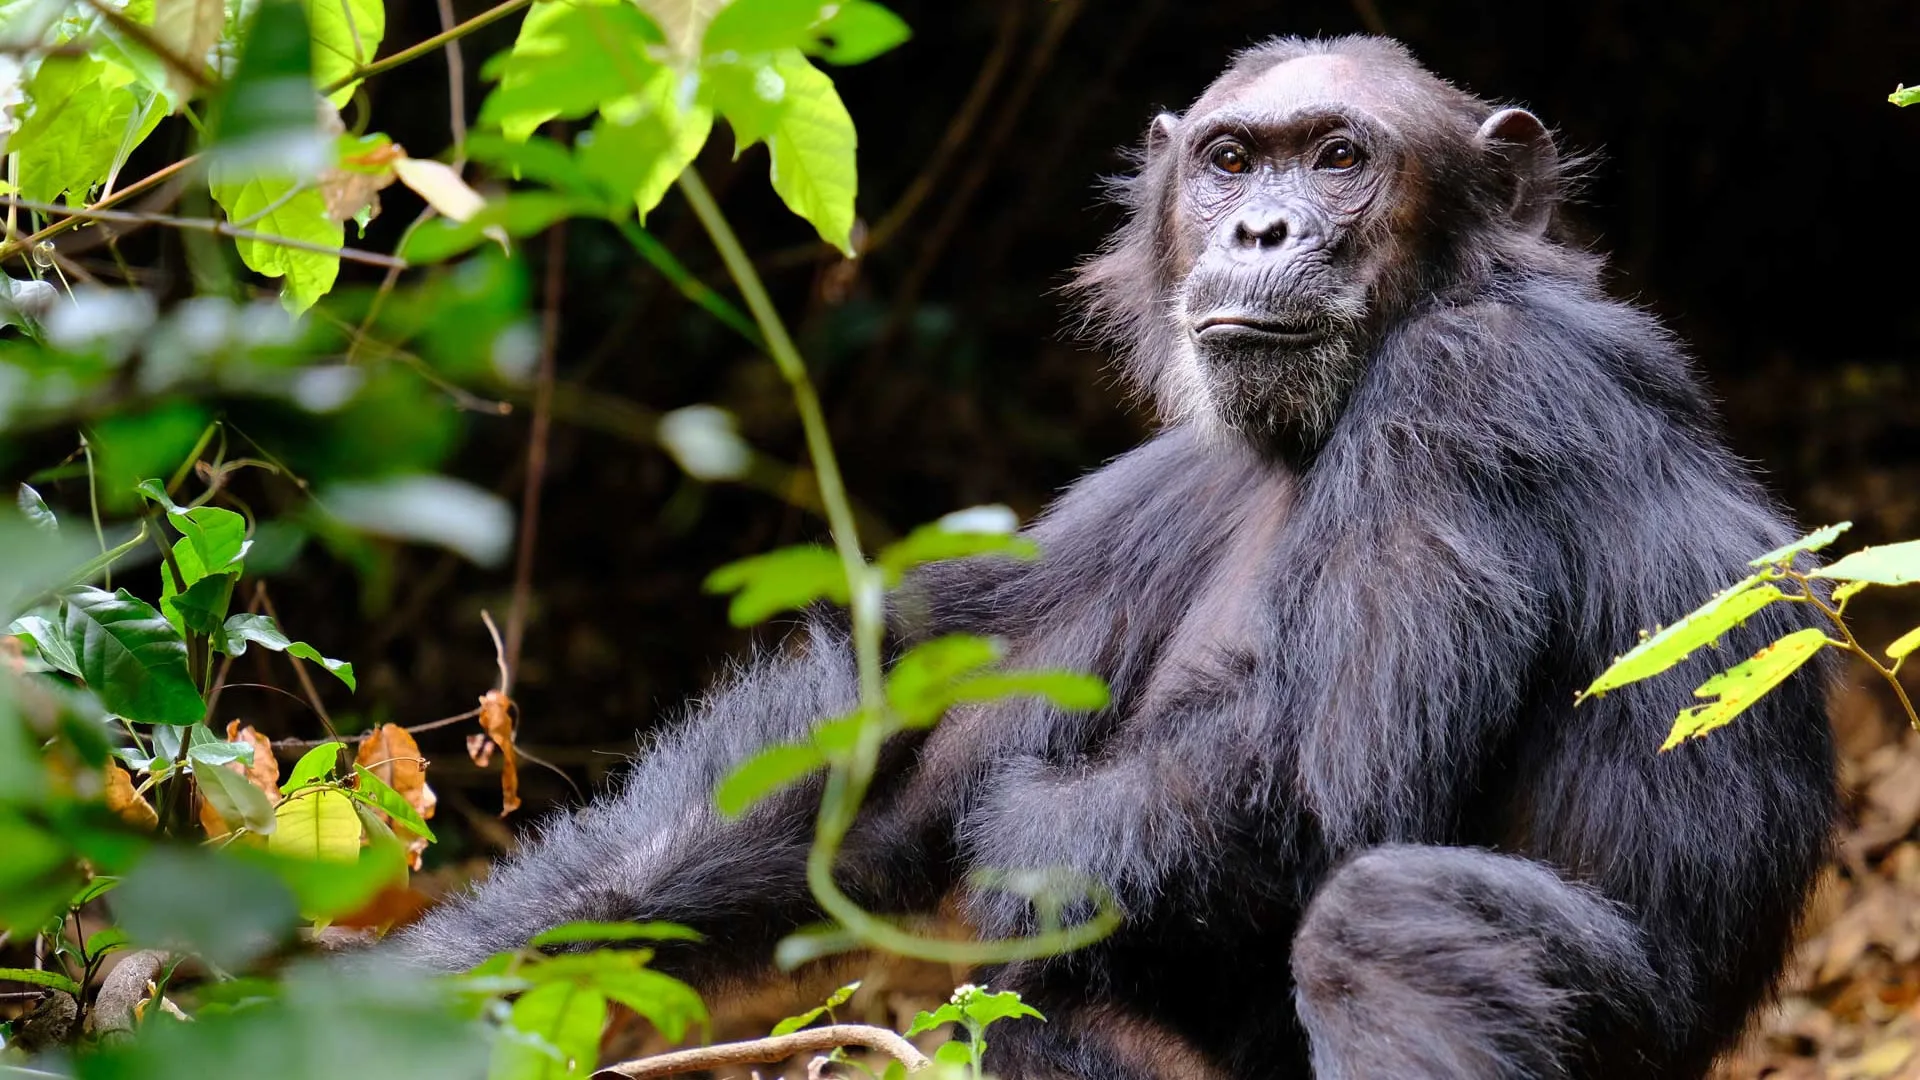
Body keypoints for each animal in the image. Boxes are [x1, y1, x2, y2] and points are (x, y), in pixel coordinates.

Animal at [392, 36, 1836, 1079]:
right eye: (1232, 161)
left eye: (1341, 157)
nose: (1260, 230)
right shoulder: (1149, 496)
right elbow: (870, 764)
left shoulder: (1467, 398)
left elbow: (1342, 783)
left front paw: (1032, 836)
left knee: (1393, 926)